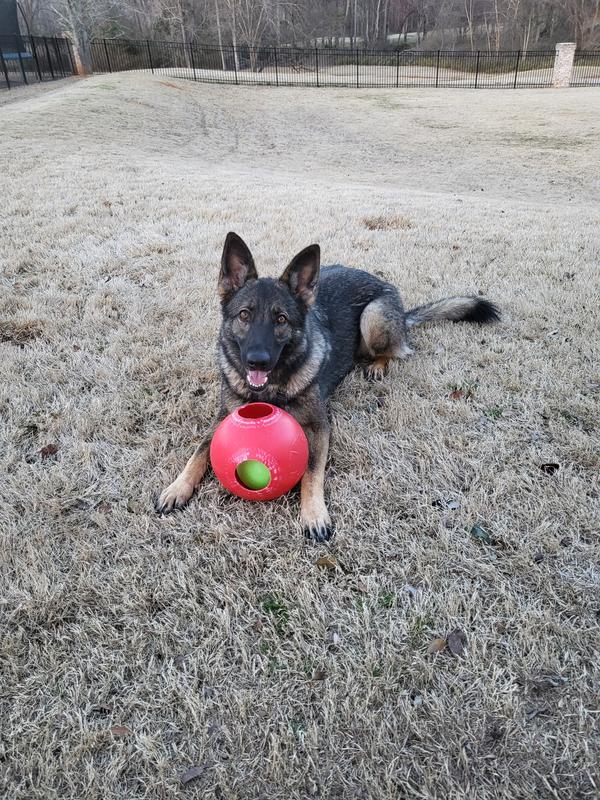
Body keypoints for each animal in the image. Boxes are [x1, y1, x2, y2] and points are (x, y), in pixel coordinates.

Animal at [155, 234, 496, 540]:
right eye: (244, 315)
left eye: (281, 319)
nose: (257, 361)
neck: (271, 391)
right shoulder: (222, 420)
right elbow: (198, 452)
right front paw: (176, 487)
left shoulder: (319, 427)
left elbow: (310, 472)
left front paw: (314, 514)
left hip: (373, 318)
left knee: (397, 350)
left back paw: (377, 365)